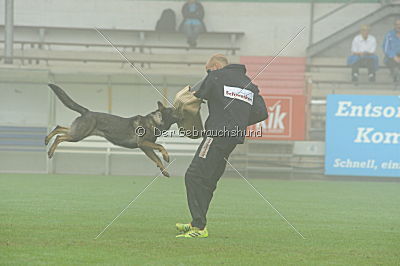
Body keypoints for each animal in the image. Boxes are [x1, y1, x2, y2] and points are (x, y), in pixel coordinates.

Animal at [45, 84, 180, 178]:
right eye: (173, 111)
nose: (181, 110)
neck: (157, 121)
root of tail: (87, 112)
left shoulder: (146, 148)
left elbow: (157, 159)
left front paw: (164, 171)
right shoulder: (143, 144)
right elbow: (161, 146)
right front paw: (166, 156)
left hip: (77, 132)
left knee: (59, 128)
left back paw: (47, 139)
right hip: (77, 135)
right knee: (59, 137)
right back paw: (50, 151)